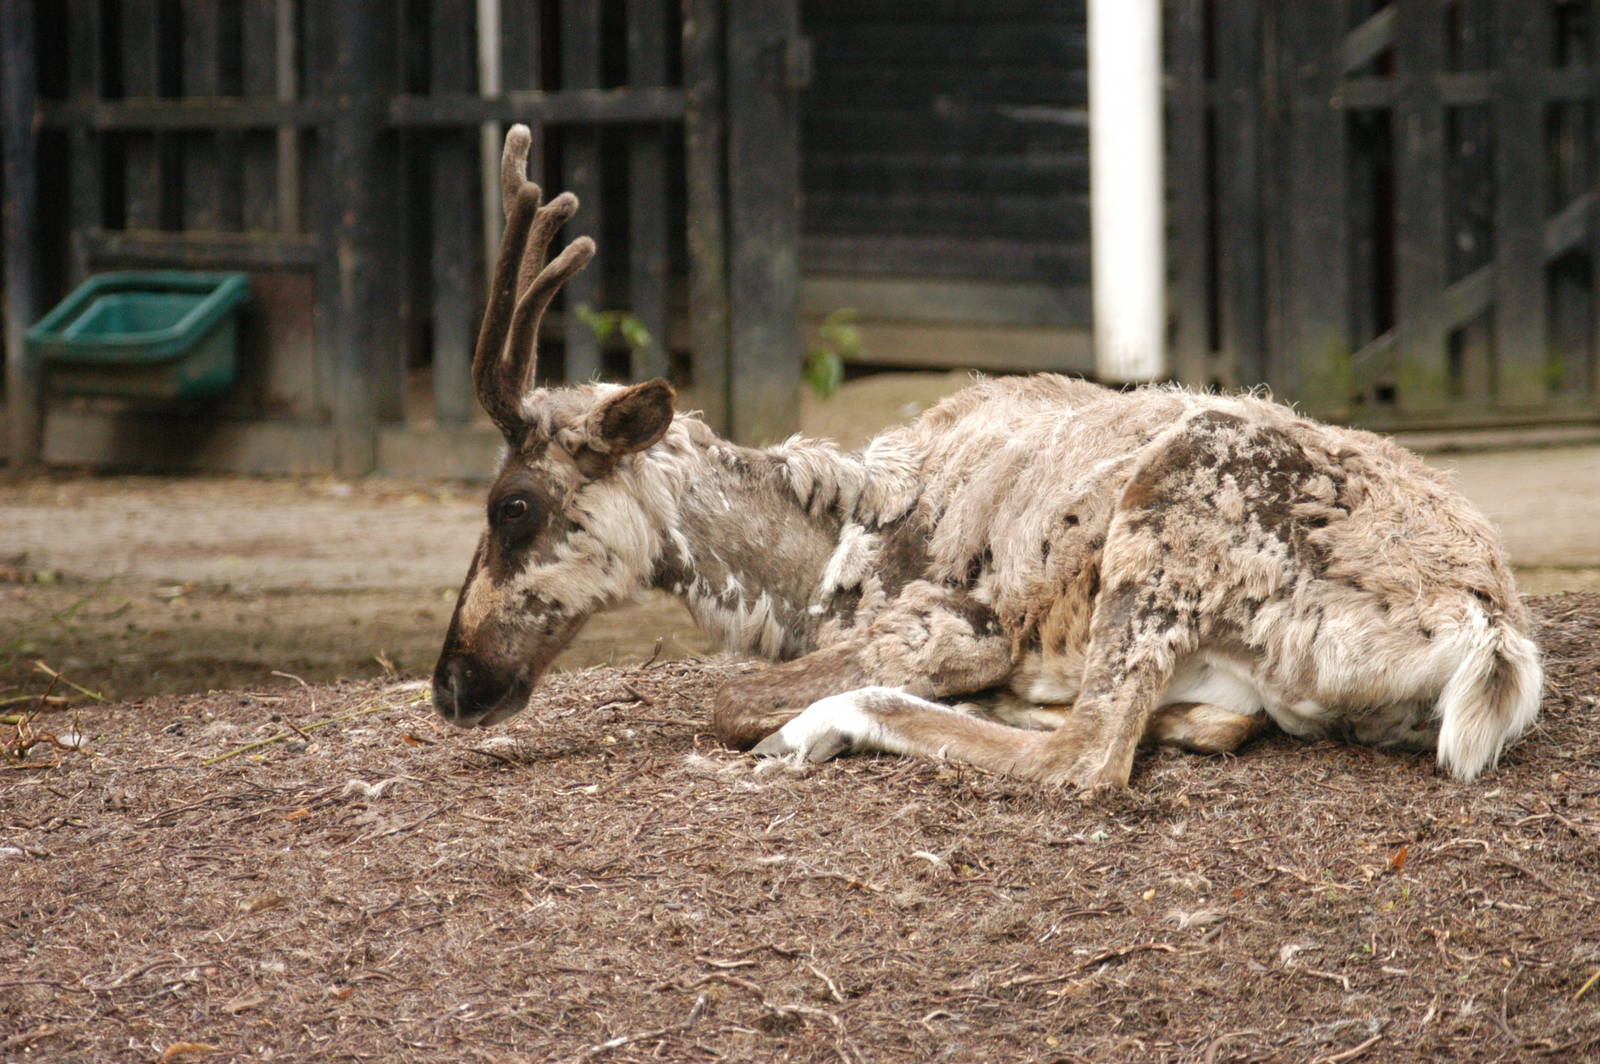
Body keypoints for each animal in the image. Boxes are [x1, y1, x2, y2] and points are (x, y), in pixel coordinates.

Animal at [433, 124, 1543, 794]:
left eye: (513, 504)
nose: (451, 684)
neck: (809, 571)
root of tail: (1485, 629)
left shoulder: (950, 620)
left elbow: (726, 697)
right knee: (1194, 724)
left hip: (1168, 520)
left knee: (1086, 757)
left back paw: (836, 719)